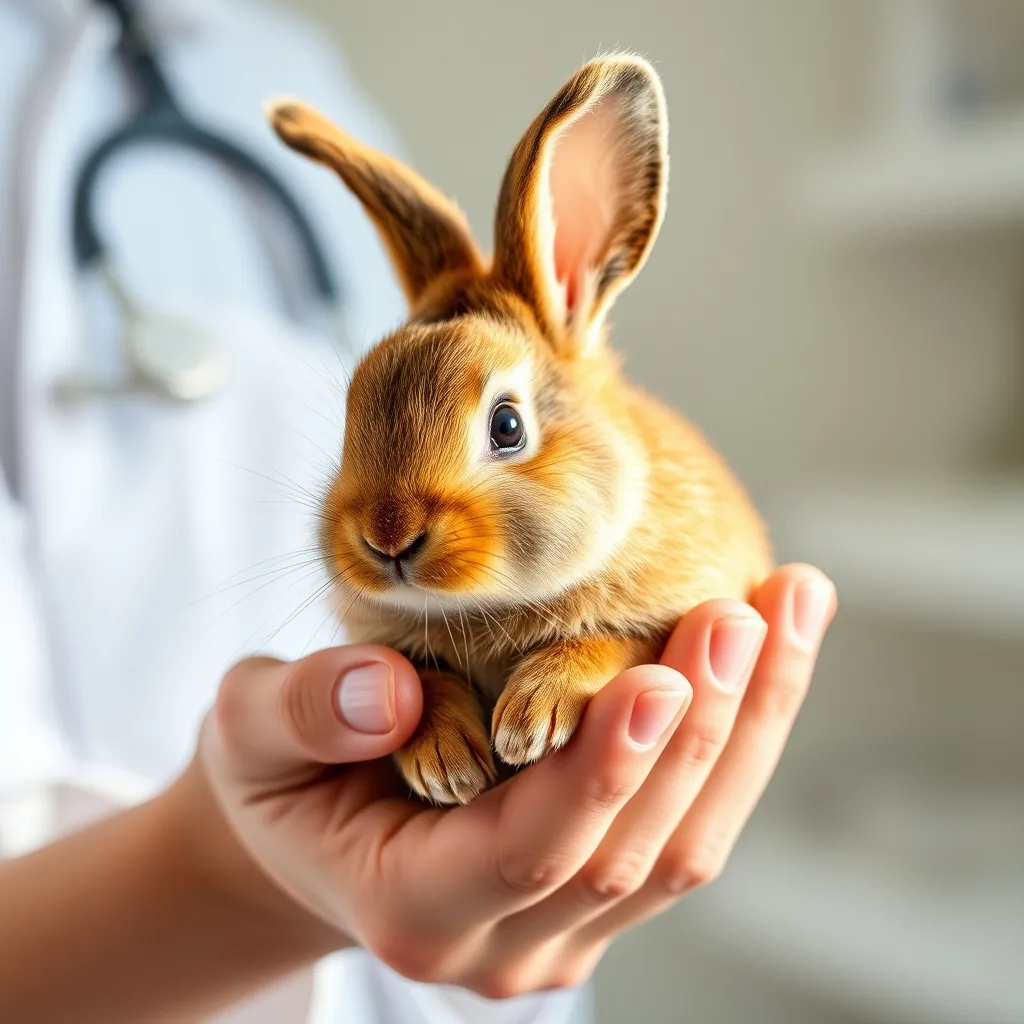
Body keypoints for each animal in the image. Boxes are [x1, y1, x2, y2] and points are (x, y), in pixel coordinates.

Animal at [266, 53, 772, 805]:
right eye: (352, 412)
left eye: (506, 425)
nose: (387, 537)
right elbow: (427, 679)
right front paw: (448, 763)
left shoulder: (677, 613)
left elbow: (611, 644)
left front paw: (531, 719)